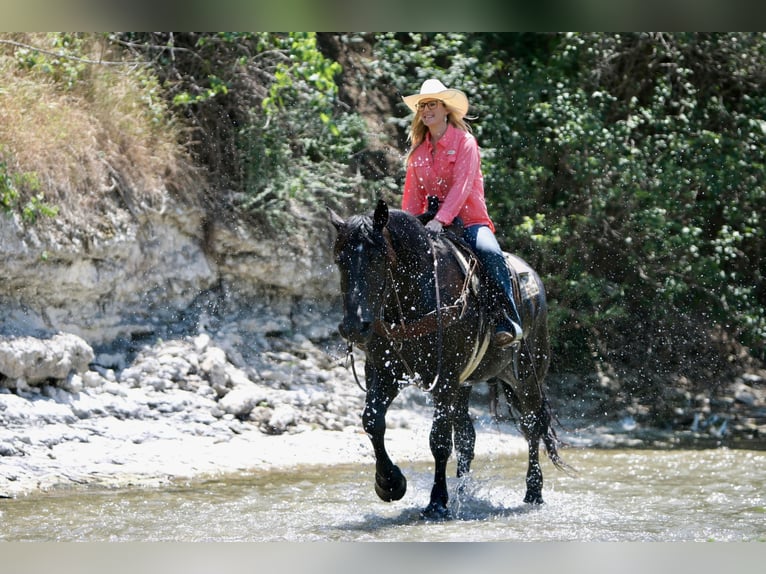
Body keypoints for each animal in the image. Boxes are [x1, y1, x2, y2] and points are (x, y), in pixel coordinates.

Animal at [328, 200, 564, 520]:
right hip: (465, 386)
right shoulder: (385, 372)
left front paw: (437, 502)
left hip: (527, 376)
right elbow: (372, 421)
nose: (354, 326)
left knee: (532, 426)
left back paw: (533, 492)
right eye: (340, 259)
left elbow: (438, 440)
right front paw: (389, 483)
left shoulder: (444, 379)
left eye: (377, 259)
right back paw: (464, 493)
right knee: (467, 438)